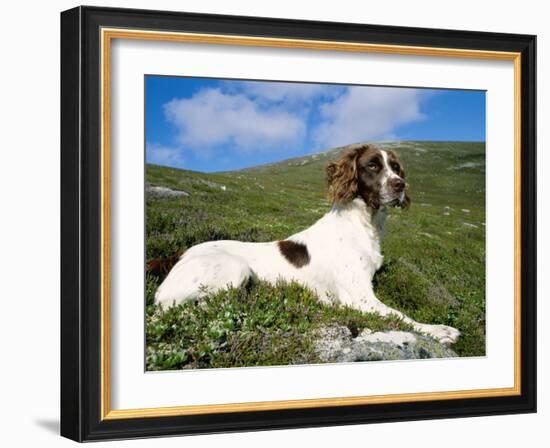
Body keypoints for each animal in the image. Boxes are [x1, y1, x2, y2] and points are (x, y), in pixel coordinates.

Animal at [154, 144, 462, 344]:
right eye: (373, 165)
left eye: (396, 168)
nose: (400, 185)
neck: (363, 224)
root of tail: (178, 255)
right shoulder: (359, 297)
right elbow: (400, 315)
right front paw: (440, 331)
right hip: (234, 268)